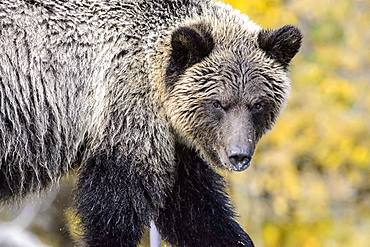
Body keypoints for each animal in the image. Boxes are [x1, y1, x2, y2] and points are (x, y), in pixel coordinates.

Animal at [0, 0, 300, 247]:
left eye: (258, 103)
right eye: (217, 102)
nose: (239, 155)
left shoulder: (175, 145)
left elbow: (196, 211)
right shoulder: (126, 114)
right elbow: (115, 208)